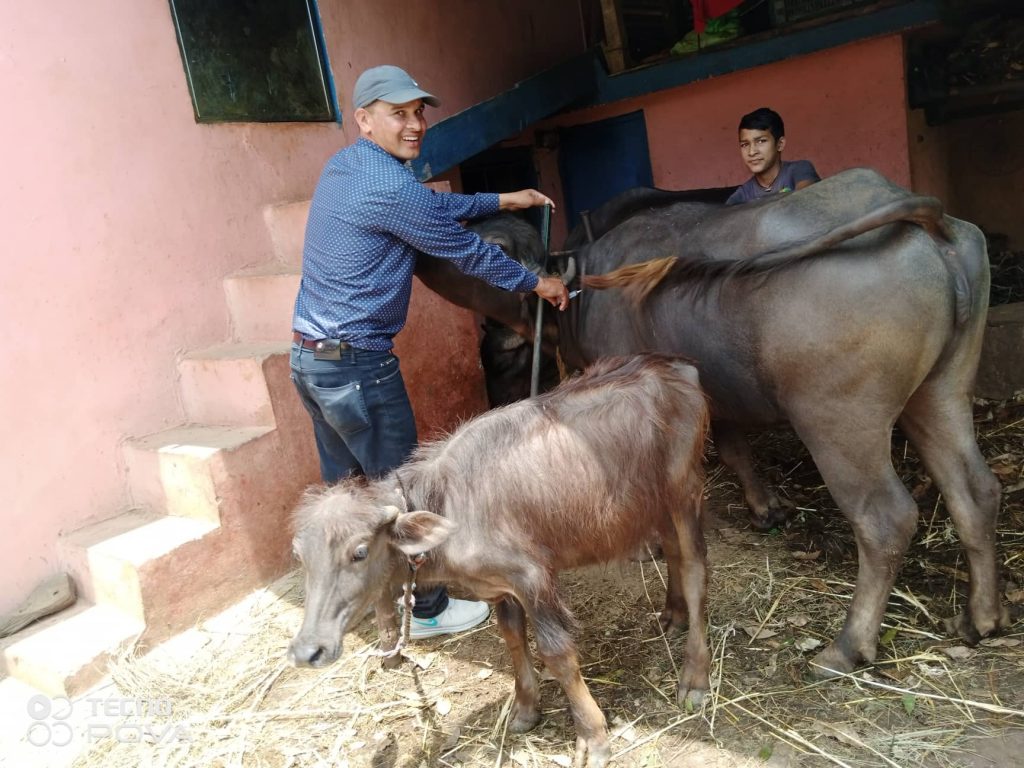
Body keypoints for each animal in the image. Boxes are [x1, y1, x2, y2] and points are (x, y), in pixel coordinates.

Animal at [415, 167, 1007, 679]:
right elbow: (733, 445)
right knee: (975, 490)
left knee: (885, 518)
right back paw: (981, 617)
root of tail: (925, 221)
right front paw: (765, 509)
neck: (584, 283)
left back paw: (847, 646)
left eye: (489, 241)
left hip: (839, 422)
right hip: (940, 391)